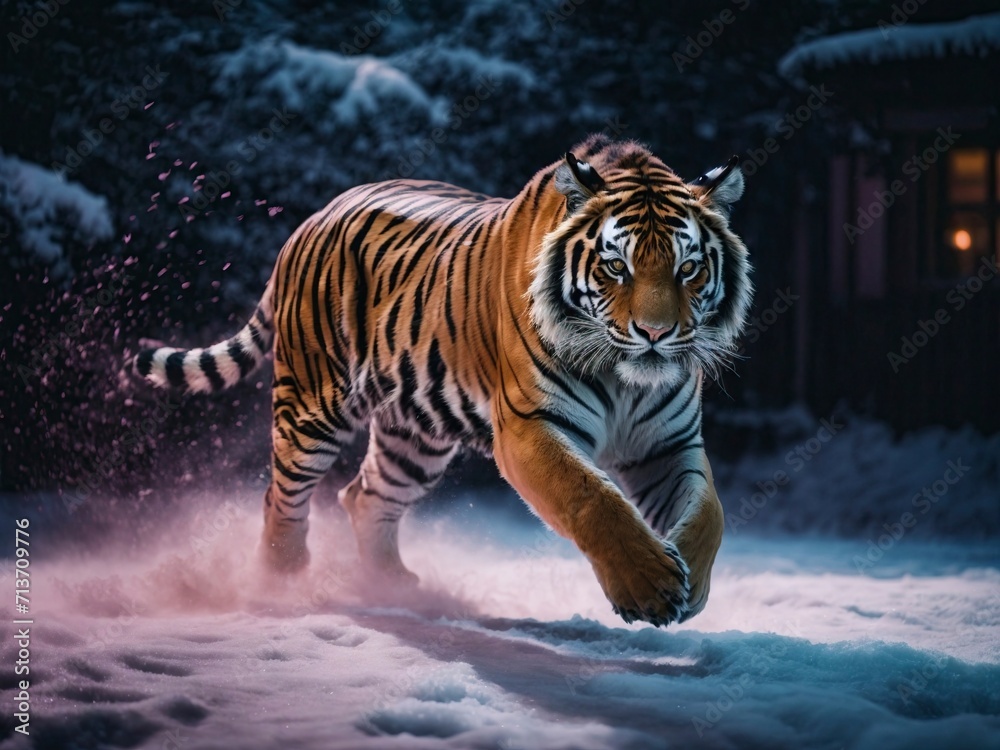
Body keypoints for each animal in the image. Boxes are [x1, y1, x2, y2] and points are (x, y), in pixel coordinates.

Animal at [134, 133, 751, 626]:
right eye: (616, 266)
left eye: (688, 268)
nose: (655, 333)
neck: (627, 379)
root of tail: (315, 215)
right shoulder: (530, 427)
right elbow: (592, 498)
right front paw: (649, 587)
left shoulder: (668, 444)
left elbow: (709, 513)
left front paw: (690, 584)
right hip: (313, 406)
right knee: (282, 493)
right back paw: (279, 582)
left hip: (416, 435)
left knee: (366, 495)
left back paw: (389, 586)